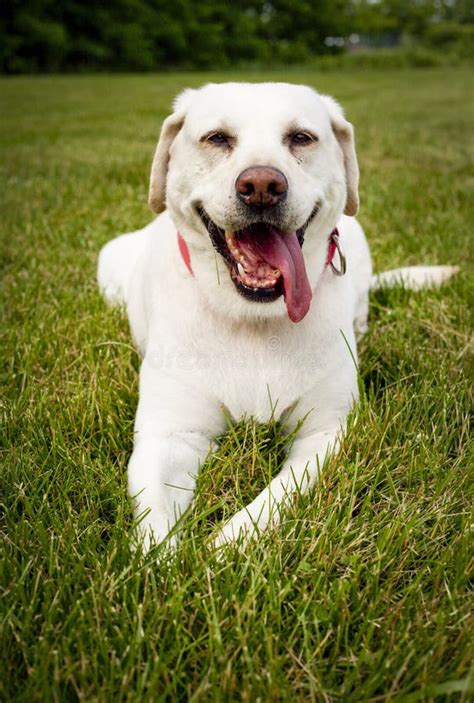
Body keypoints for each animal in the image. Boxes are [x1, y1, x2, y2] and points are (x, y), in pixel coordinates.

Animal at [98, 82, 458, 552]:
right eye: (217, 138)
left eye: (301, 138)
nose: (262, 186)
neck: (254, 318)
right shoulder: (169, 435)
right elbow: (154, 529)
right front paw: (169, 564)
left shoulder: (325, 434)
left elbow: (275, 499)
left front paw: (224, 549)